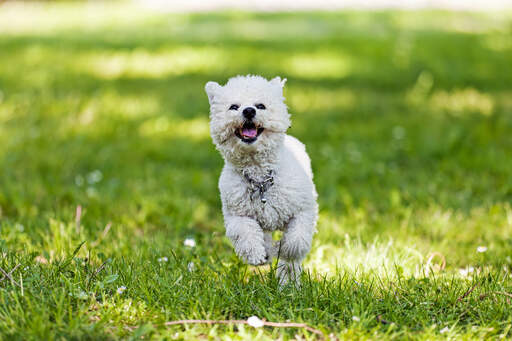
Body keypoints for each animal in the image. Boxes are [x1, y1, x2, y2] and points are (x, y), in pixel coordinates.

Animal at [204, 75, 316, 284]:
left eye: (261, 106)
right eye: (234, 107)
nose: (248, 110)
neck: (260, 177)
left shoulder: (304, 210)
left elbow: (296, 241)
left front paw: (284, 249)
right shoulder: (237, 215)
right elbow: (246, 233)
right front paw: (259, 255)